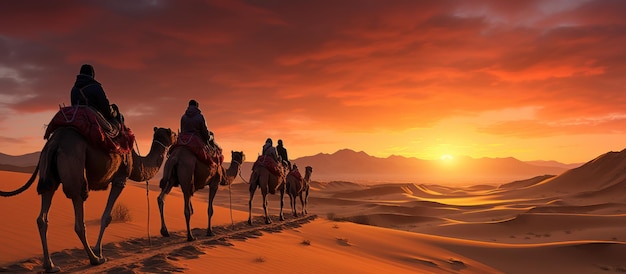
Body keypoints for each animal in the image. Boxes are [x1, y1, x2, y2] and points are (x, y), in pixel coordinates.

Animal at [1, 126, 176, 272]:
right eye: (172, 133)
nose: (176, 139)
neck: (136, 160)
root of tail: (55, 143)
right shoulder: (120, 179)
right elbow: (106, 217)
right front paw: (99, 250)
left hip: (48, 176)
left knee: (42, 217)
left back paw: (50, 265)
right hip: (75, 173)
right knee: (79, 221)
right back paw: (94, 259)